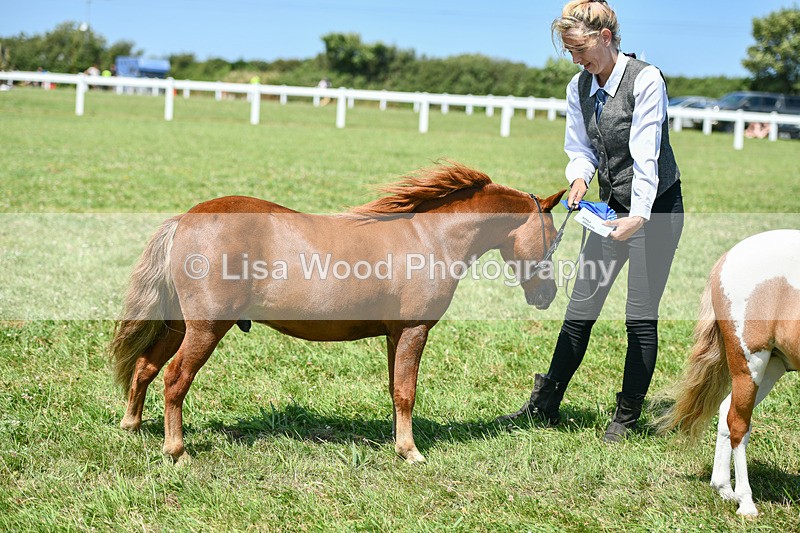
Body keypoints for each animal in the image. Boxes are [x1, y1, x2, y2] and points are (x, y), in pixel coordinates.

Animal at [110, 162, 566, 465]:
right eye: (553, 238)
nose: (547, 295)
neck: (430, 238)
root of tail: (185, 220)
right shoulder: (415, 330)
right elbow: (407, 392)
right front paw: (411, 451)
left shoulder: (395, 334)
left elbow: (395, 391)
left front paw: (399, 444)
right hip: (205, 328)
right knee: (174, 379)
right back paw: (177, 451)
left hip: (178, 325)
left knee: (146, 367)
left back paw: (132, 426)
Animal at [657, 229, 800, 516]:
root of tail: (728, 257)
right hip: (750, 361)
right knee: (737, 423)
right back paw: (745, 502)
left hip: (773, 364)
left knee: (726, 412)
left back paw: (724, 488)